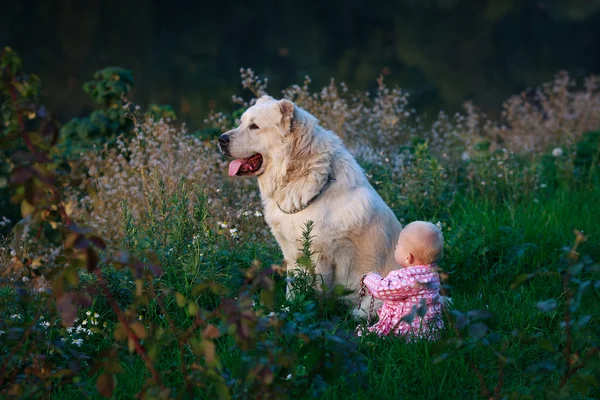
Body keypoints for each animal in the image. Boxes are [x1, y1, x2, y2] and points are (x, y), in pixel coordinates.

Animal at [218, 95, 400, 318]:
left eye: (254, 126)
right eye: (241, 123)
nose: (221, 139)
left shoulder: (318, 258)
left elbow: (313, 293)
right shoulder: (291, 253)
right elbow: (293, 288)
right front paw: (286, 310)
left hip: (368, 305)